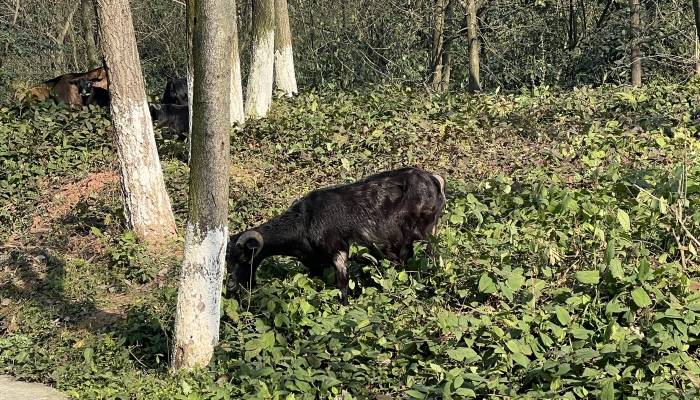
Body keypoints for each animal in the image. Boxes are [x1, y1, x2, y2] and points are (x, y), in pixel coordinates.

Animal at [227, 167, 446, 302]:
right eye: (227, 260)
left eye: (244, 259)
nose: (230, 287)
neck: (305, 220)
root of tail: (434, 180)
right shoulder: (315, 262)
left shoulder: (338, 251)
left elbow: (342, 286)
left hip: (427, 232)